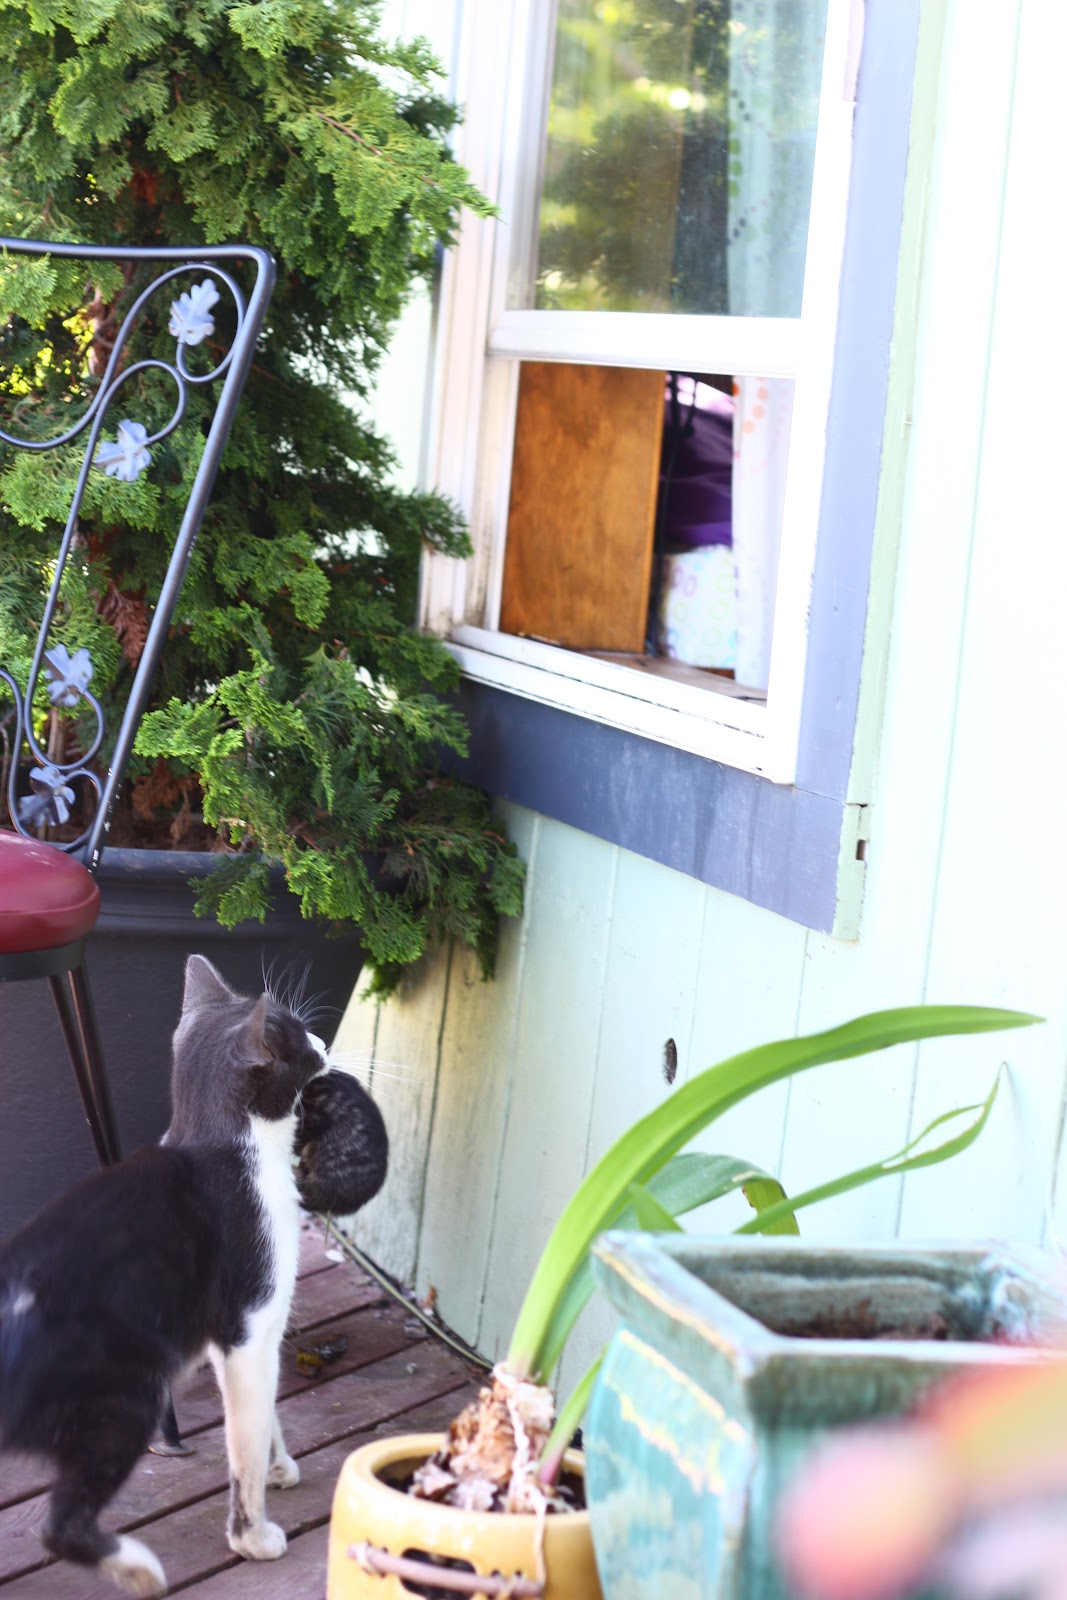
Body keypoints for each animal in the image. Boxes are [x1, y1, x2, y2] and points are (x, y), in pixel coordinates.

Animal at [0, 952, 363, 1598]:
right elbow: (243, 1438)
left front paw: (280, 1464)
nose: (323, 1040)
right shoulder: (250, 1322)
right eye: (299, 1038)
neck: (221, 1141)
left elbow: (263, 1409)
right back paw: (139, 1570)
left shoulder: (242, 1332)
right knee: (61, 1525)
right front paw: (253, 1536)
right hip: (122, 1395)